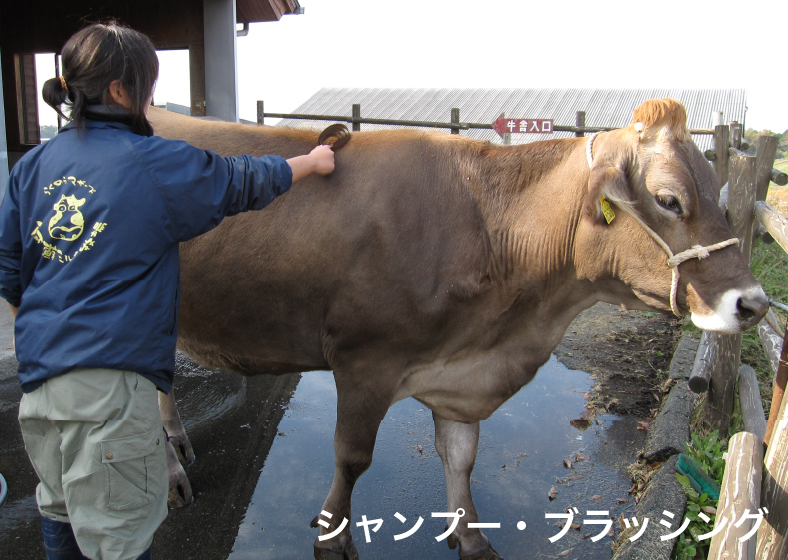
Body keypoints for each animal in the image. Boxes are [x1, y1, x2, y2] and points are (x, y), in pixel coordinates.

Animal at [149, 100, 768, 560]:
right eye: (669, 199)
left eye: (714, 189)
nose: (754, 303)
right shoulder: (364, 361)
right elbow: (352, 458)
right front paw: (333, 537)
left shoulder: (463, 375)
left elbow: (461, 456)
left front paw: (470, 536)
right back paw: (171, 475)